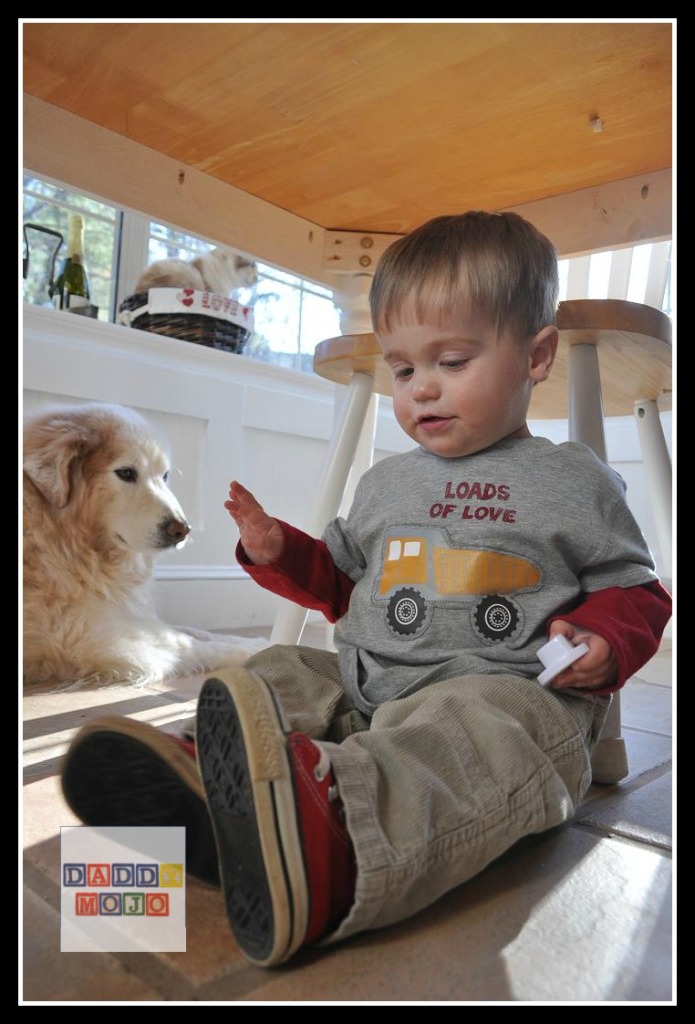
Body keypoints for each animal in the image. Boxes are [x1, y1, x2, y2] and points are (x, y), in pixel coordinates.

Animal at [21, 403, 266, 692]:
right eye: (126, 473)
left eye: (165, 475)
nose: (182, 530)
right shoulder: (104, 642)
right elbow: (192, 646)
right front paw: (258, 649)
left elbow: (191, 630)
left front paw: (250, 640)